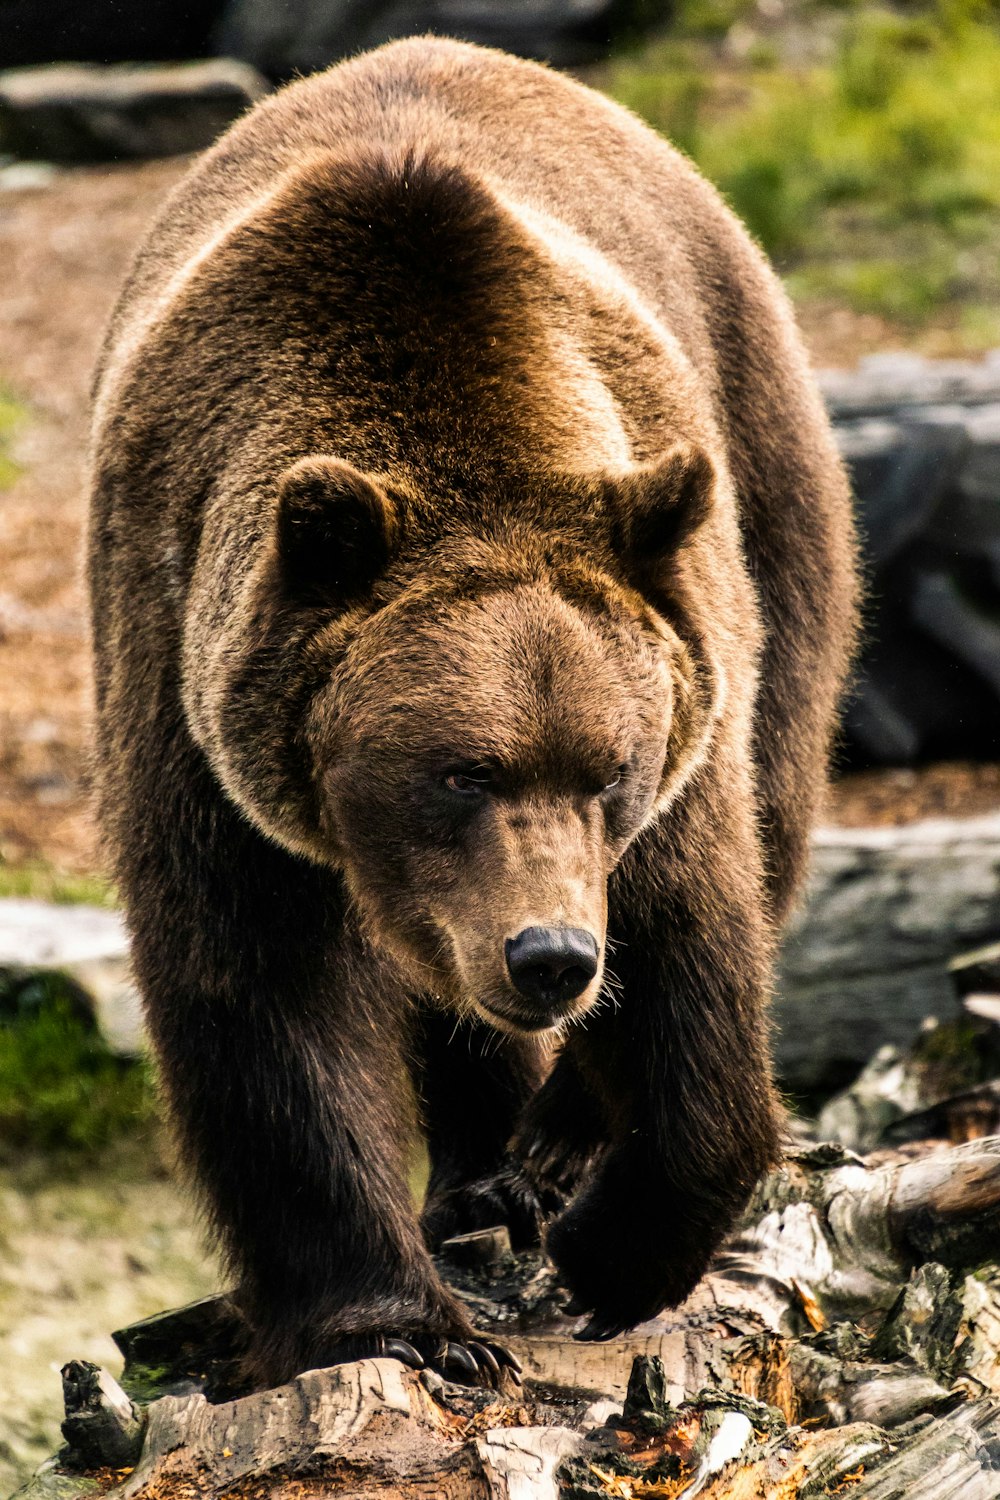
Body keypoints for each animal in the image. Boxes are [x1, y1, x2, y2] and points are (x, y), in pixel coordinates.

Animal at [89, 35, 863, 1386]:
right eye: (460, 771)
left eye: (608, 770)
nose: (550, 955)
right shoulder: (191, 691)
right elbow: (260, 997)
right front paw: (393, 1320)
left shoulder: (678, 717)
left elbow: (696, 940)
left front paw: (616, 1252)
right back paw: (483, 1180)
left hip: (771, 489)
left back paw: (539, 1154)